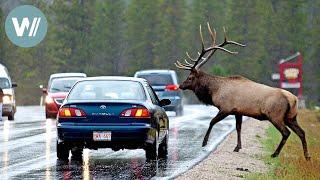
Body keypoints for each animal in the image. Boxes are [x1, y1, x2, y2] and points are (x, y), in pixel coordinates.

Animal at [175, 22, 310, 160]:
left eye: (190, 77)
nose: (180, 85)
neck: (214, 91)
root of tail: (293, 99)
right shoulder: (238, 111)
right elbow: (238, 128)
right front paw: (237, 147)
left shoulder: (226, 108)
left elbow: (212, 121)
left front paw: (204, 142)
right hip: (291, 117)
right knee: (302, 132)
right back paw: (307, 156)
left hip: (275, 115)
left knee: (286, 133)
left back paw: (275, 154)